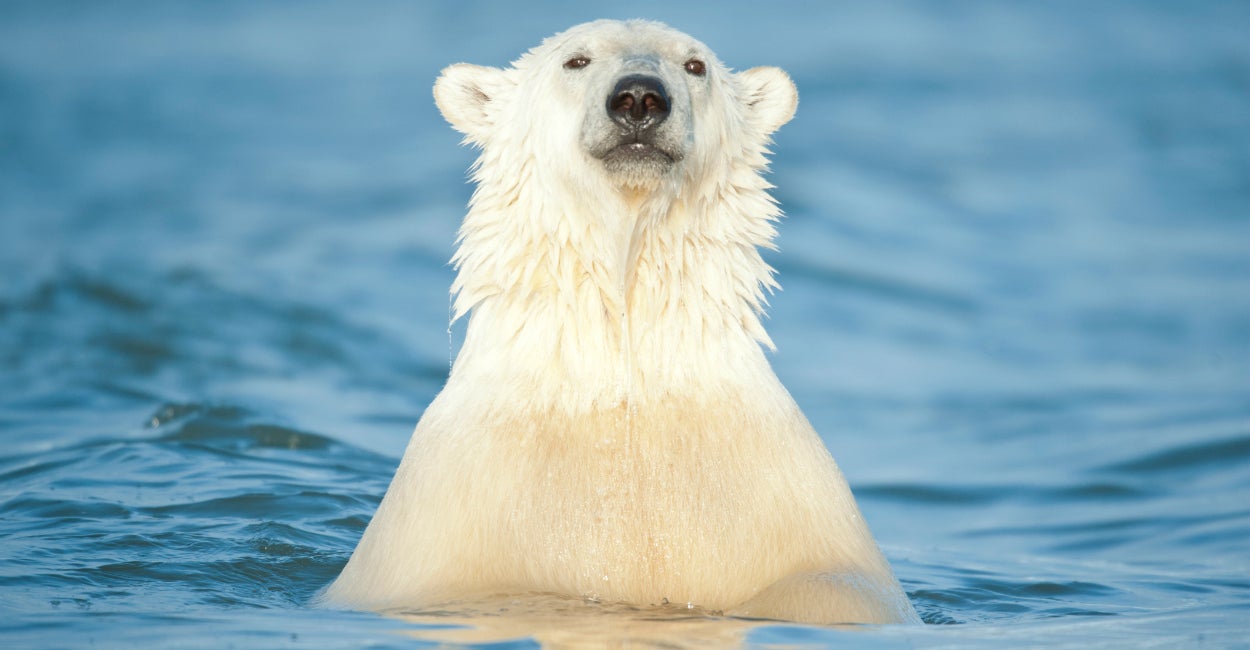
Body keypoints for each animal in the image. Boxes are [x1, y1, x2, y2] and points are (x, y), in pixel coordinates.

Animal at [319, 19, 920, 626]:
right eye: (576, 60)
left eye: (695, 65)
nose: (639, 98)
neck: (624, 392)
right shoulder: (450, 520)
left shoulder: (782, 502)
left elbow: (827, 587)